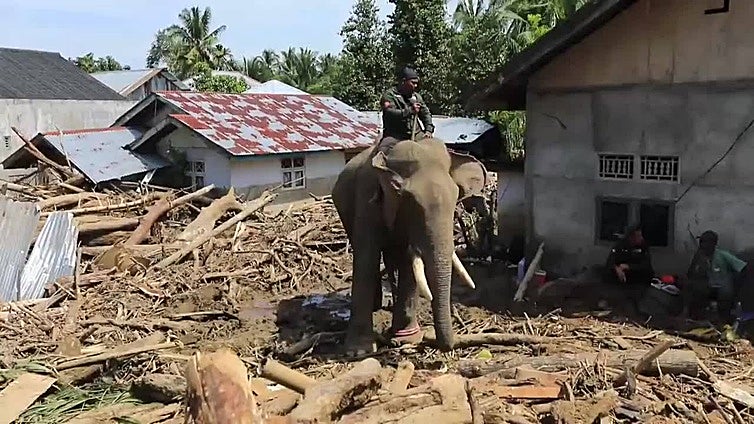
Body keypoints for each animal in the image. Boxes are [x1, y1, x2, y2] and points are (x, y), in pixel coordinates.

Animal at [331, 136, 488, 354]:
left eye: (457, 196)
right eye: (411, 200)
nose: (449, 346)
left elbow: (409, 263)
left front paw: (407, 338)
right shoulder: (367, 199)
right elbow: (366, 258)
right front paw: (359, 350)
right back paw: (377, 307)